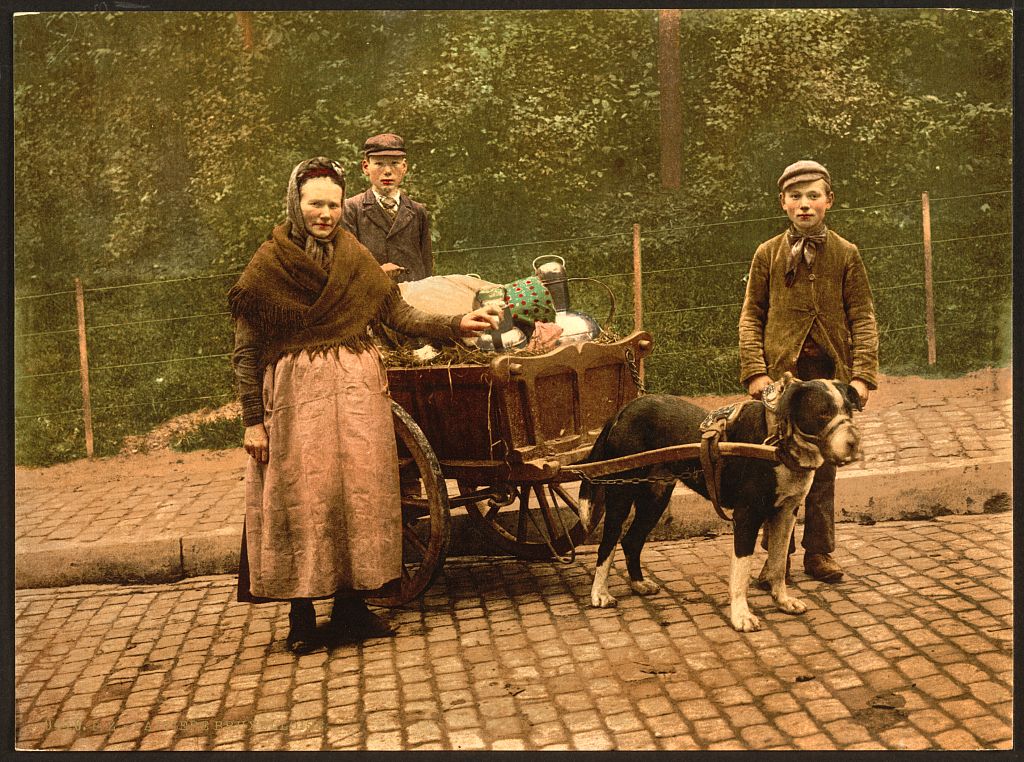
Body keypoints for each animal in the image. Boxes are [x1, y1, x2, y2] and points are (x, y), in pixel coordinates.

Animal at [581, 372, 860, 630]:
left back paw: (639, 584)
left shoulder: (786, 513)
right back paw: (600, 593)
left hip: (655, 498)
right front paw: (741, 616)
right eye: (823, 413)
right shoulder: (746, 516)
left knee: (631, 541)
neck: (778, 443)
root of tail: (623, 411)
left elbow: (779, 564)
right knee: (608, 543)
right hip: (621, 494)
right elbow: (741, 571)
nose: (854, 443)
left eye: (849, 411)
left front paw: (782, 601)